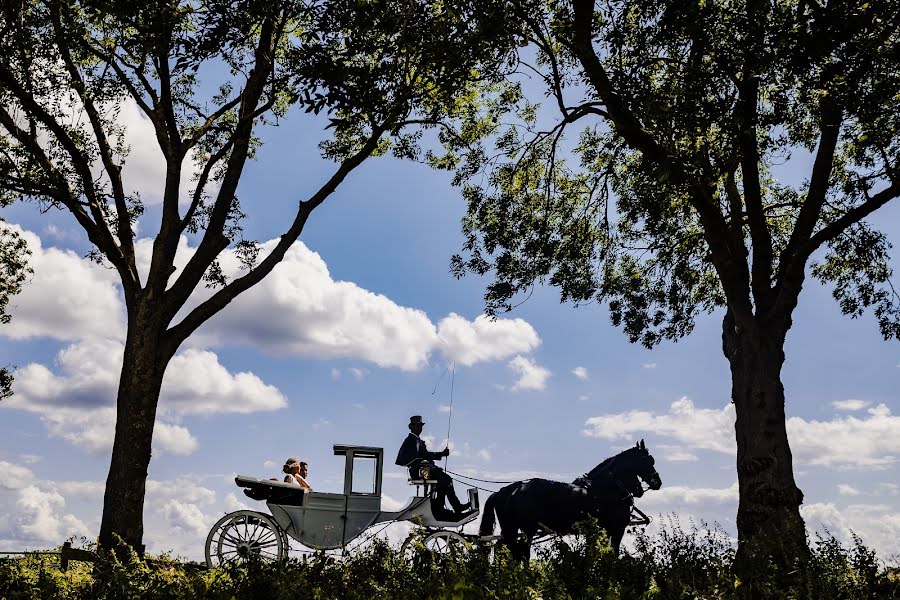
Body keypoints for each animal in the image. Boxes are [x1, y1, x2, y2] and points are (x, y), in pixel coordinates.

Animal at [478, 438, 660, 560]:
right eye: (646, 459)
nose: (657, 482)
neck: (605, 489)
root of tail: (508, 489)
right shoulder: (616, 528)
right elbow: (610, 554)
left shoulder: (602, 530)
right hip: (525, 528)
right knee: (518, 552)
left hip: (513, 528)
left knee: (504, 549)